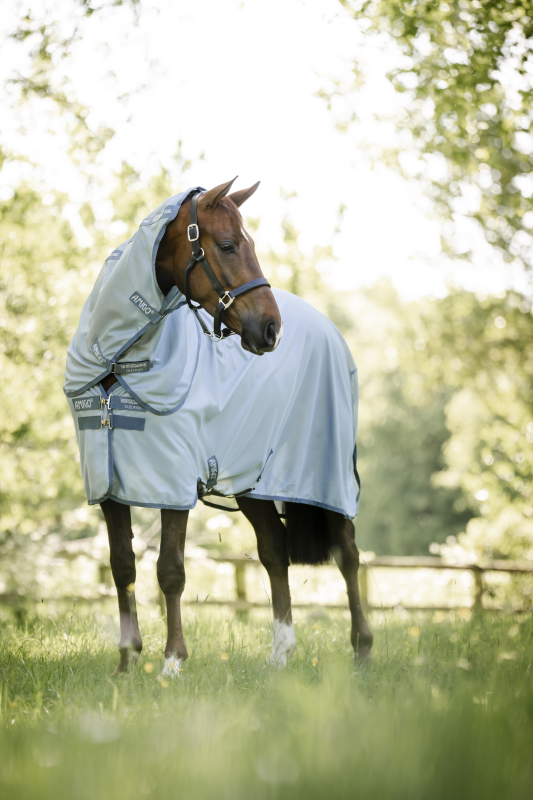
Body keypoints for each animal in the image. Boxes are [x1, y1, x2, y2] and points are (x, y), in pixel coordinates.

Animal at [65, 178, 373, 676]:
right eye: (228, 245)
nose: (271, 329)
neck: (116, 363)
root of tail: (330, 332)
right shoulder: (109, 485)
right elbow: (122, 566)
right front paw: (126, 664)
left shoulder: (173, 483)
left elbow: (170, 570)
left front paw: (172, 662)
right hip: (253, 484)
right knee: (274, 550)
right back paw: (280, 654)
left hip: (325, 477)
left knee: (347, 553)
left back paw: (362, 649)